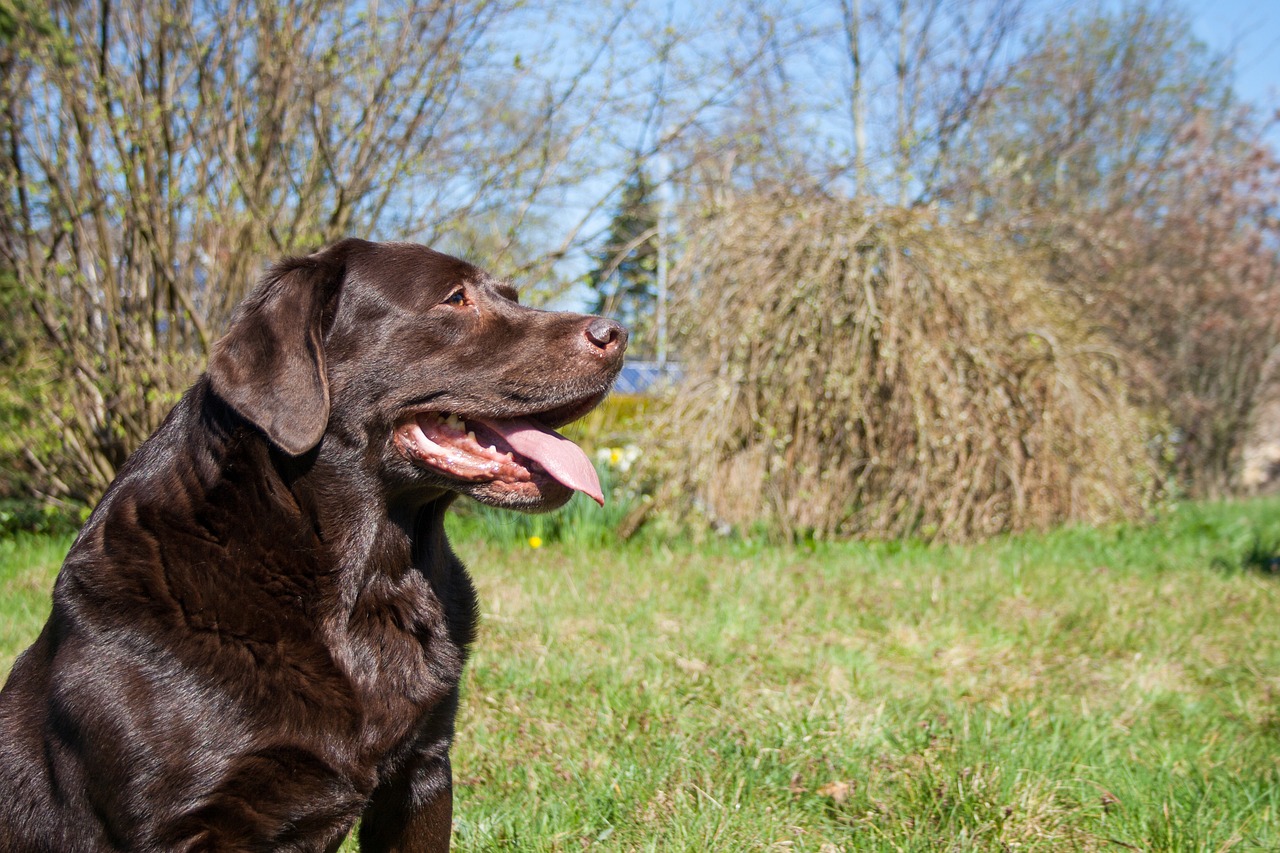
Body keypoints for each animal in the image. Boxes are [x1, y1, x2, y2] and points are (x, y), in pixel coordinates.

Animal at [0, 239, 624, 850]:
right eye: (454, 298)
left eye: (511, 296)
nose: (617, 334)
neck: (364, 583)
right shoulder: (184, 824)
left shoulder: (422, 772)